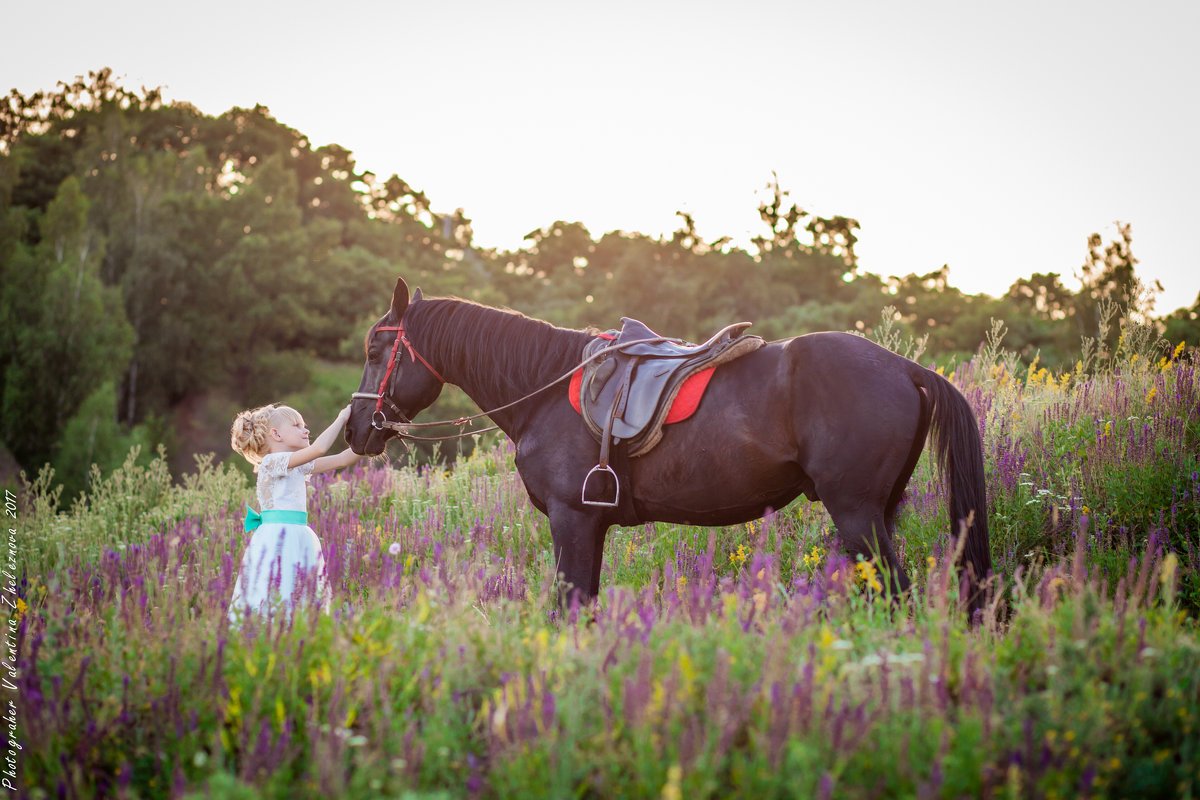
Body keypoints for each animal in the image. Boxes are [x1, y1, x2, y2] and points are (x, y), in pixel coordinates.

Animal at [348, 275, 993, 618]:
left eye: (378, 350)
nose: (357, 430)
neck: (546, 388)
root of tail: (906, 368)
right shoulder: (591, 526)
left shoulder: (571, 518)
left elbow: (569, 608)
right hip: (878, 512)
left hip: (856, 511)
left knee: (897, 596)